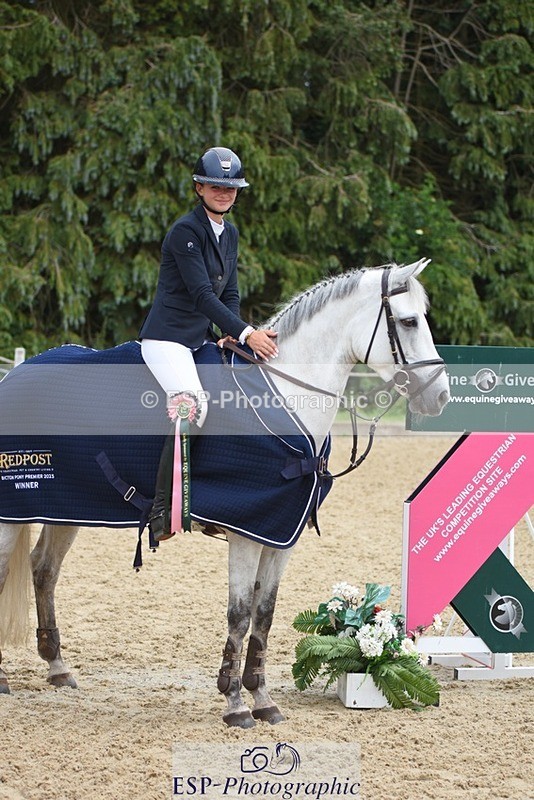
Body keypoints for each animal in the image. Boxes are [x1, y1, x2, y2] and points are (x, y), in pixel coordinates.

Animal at [0, 259, 449, 727]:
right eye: (409, 321)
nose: (440, 395)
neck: (286, 394)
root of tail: (14, 374)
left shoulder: (281, 535)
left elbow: (264, 614)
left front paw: (262, 698)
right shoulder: (247, 532)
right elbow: (239, 614)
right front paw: (235, 703)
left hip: (68, 507)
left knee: (44, 570)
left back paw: (57, 668)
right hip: (13, 511)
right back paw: (5, 680)